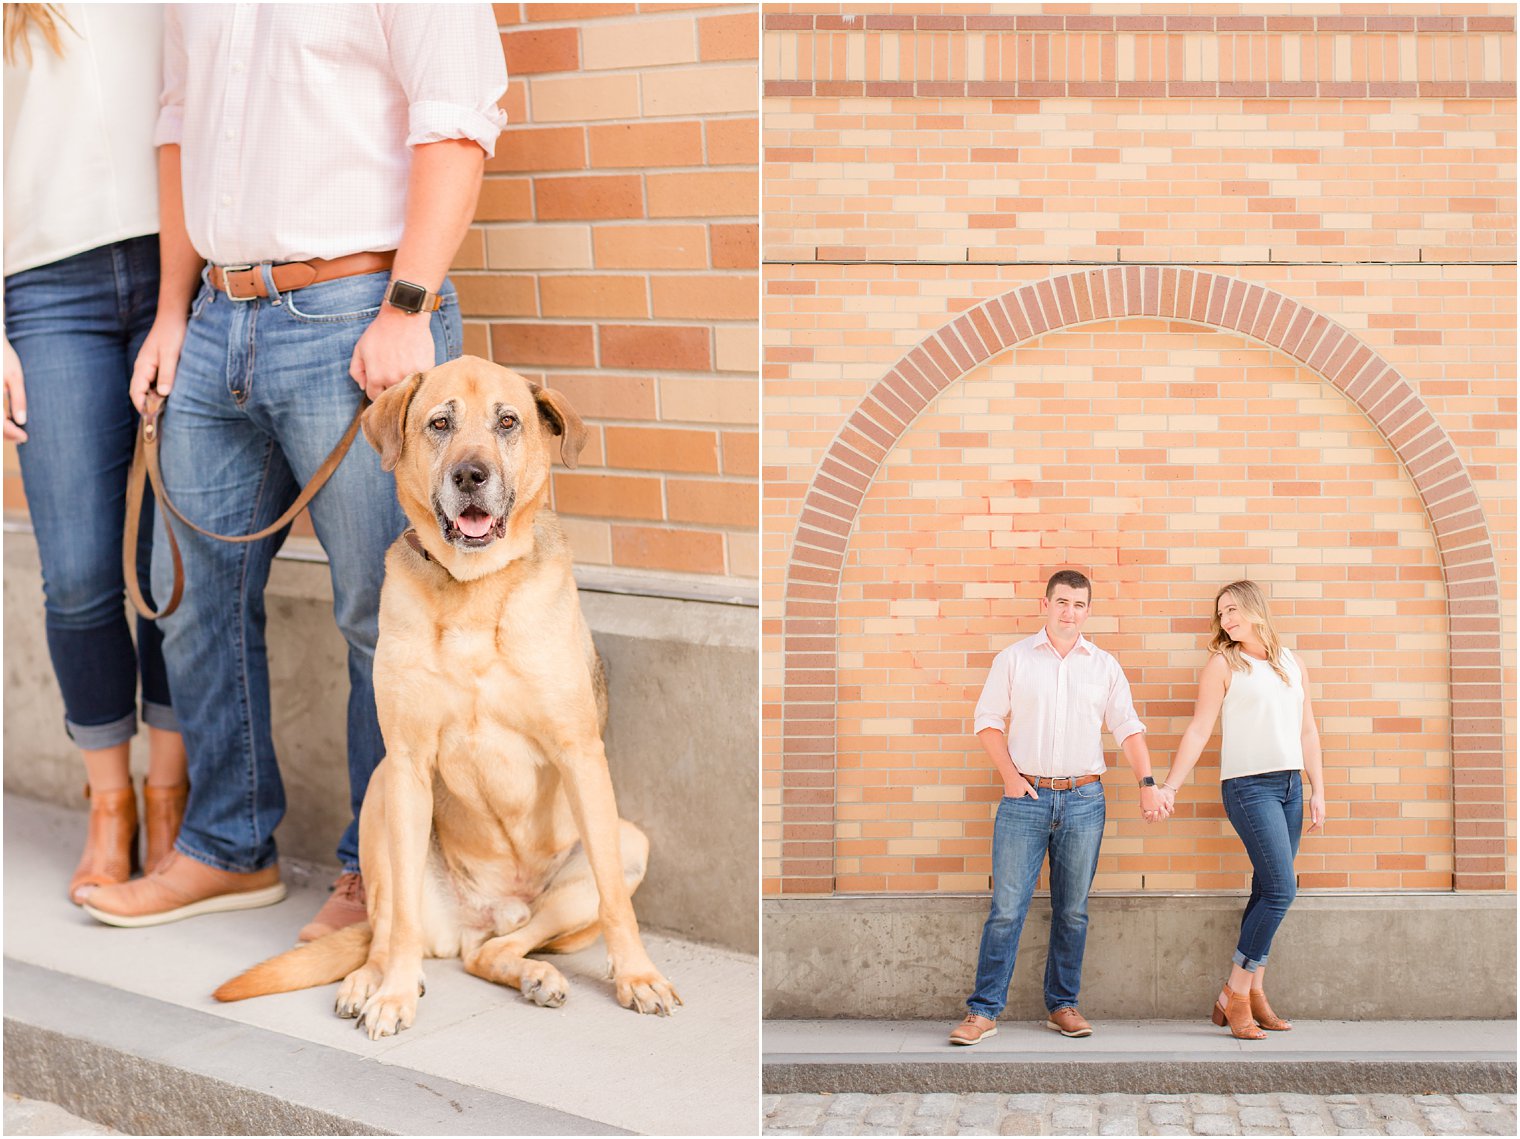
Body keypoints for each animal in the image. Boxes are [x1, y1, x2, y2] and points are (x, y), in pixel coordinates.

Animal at [217, 357, 680, 1040]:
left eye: (508, 422)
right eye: (440, 424)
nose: (470, 475)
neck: (473, 589)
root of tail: (483, 914)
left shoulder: (579, 755)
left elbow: (618, 904)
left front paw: (638, 977)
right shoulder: (408, 763)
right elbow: (401, 922)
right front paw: (393, 995)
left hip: (623, 850)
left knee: (497, 949)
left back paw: (534, 974)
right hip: (381, 795)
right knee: (393, 931)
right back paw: (373, 980)